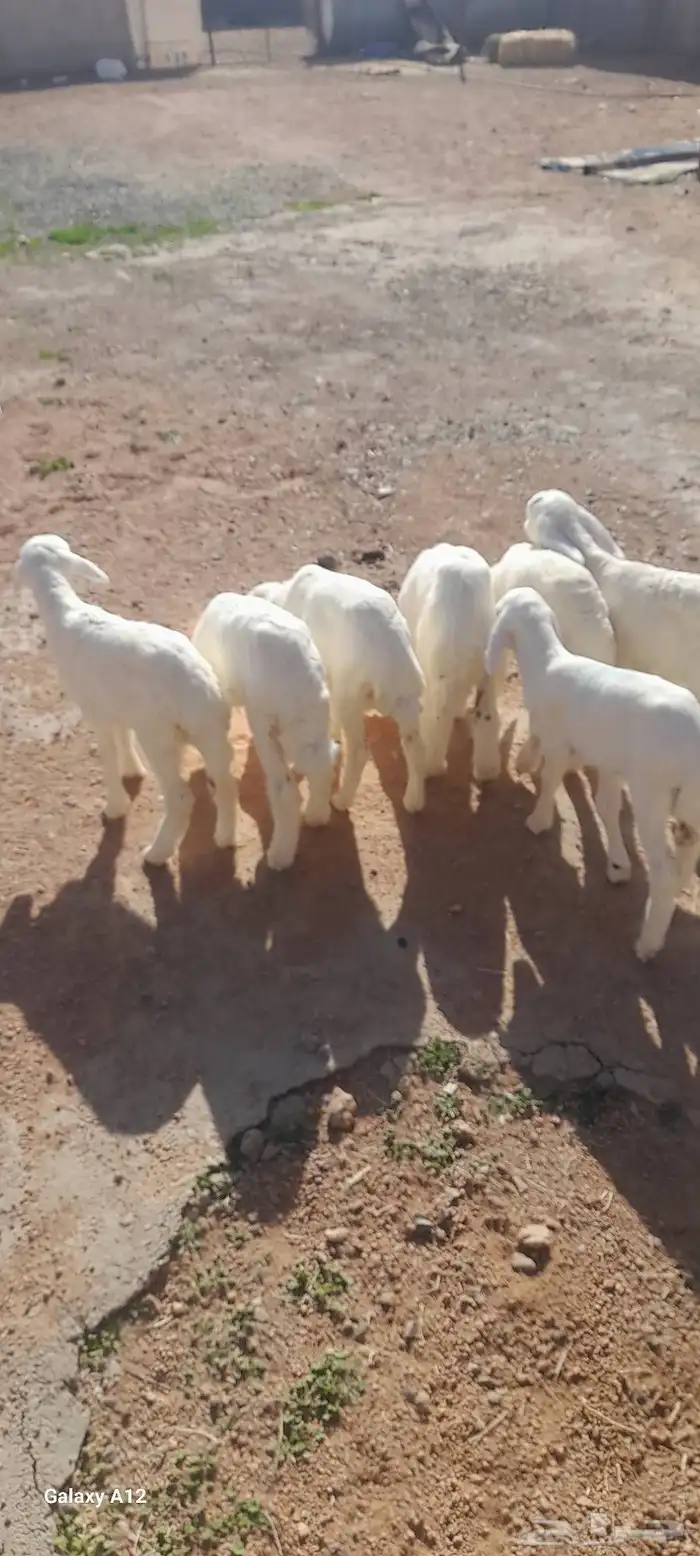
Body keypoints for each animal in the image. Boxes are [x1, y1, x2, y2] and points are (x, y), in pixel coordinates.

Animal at [14, 535, 236, 866]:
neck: (65, 613)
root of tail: (198, 687)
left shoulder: (95, 711)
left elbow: (108, 753)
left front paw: (115, 808)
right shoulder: (117, 705)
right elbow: (123, 738)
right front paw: (132, 771)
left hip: (160, 737)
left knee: (181, 797)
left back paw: (156, 854)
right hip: (209, 733)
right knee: (225, 784)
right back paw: (224, 839)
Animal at [192, 591, 337, 871]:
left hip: (264, 724)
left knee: (285, 791)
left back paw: (279, 856)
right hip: (311, 723)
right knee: (322, 763)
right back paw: (317, 816)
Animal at [250, 564, 426, 813]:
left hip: (351, 696)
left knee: (359, 750)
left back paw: (341, 801)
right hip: (407, 696)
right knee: (415, 746)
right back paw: (413, 802)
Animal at [485, 585, 700, 960]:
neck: (546, 660)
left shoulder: (560, 742)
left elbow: (550, 779)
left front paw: (538, 820)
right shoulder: (608, 760)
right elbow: (606, 806)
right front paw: (618, 864)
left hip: (652, 793)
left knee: (664, 873)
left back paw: (648, 943)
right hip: (693, 805)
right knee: (686, 858)